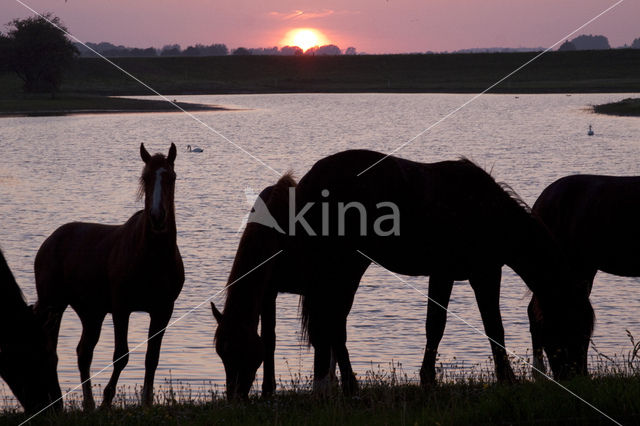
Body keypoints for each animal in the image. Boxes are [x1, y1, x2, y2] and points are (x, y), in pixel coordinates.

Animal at [34, 144, 184, 410]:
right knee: (51, 349)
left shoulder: (163, 310)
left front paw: (146, 402)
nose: (157, 217)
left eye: (171, 177)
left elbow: (152, 358)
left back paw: (87, 404)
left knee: (83, 352)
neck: (152, 257)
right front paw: (107, 400)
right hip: (53, 304)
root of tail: (49, 242)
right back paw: (59, 402)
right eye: (146, 178)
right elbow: (121, 355)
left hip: (90, 312)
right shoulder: (121, 308)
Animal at [214, 150, 596, 400]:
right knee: (332, 323)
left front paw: (428, 379)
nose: (579, 378)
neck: (486, 209)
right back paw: (346, 386)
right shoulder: (483, 273)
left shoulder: (445, 274)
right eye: (576, 328)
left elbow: (437, 327)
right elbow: (489, 327)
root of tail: (309, 180)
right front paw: (506, 379)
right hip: (341, 266)